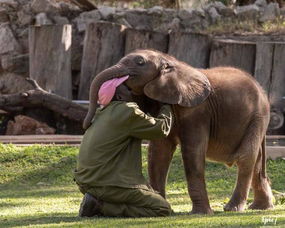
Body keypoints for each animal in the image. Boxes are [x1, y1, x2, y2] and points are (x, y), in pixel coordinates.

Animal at [84, 49, 272, 214]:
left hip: (257, 117)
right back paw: (261, 207)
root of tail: (262, 90)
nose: (87, 125)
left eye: (140, 62)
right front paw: (167, 208)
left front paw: (201, 213)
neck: (170, 60)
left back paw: (233, 209)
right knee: (256, 161)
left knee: (246, 157)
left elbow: (192, 153)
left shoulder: (198, 111)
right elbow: (159, 152)